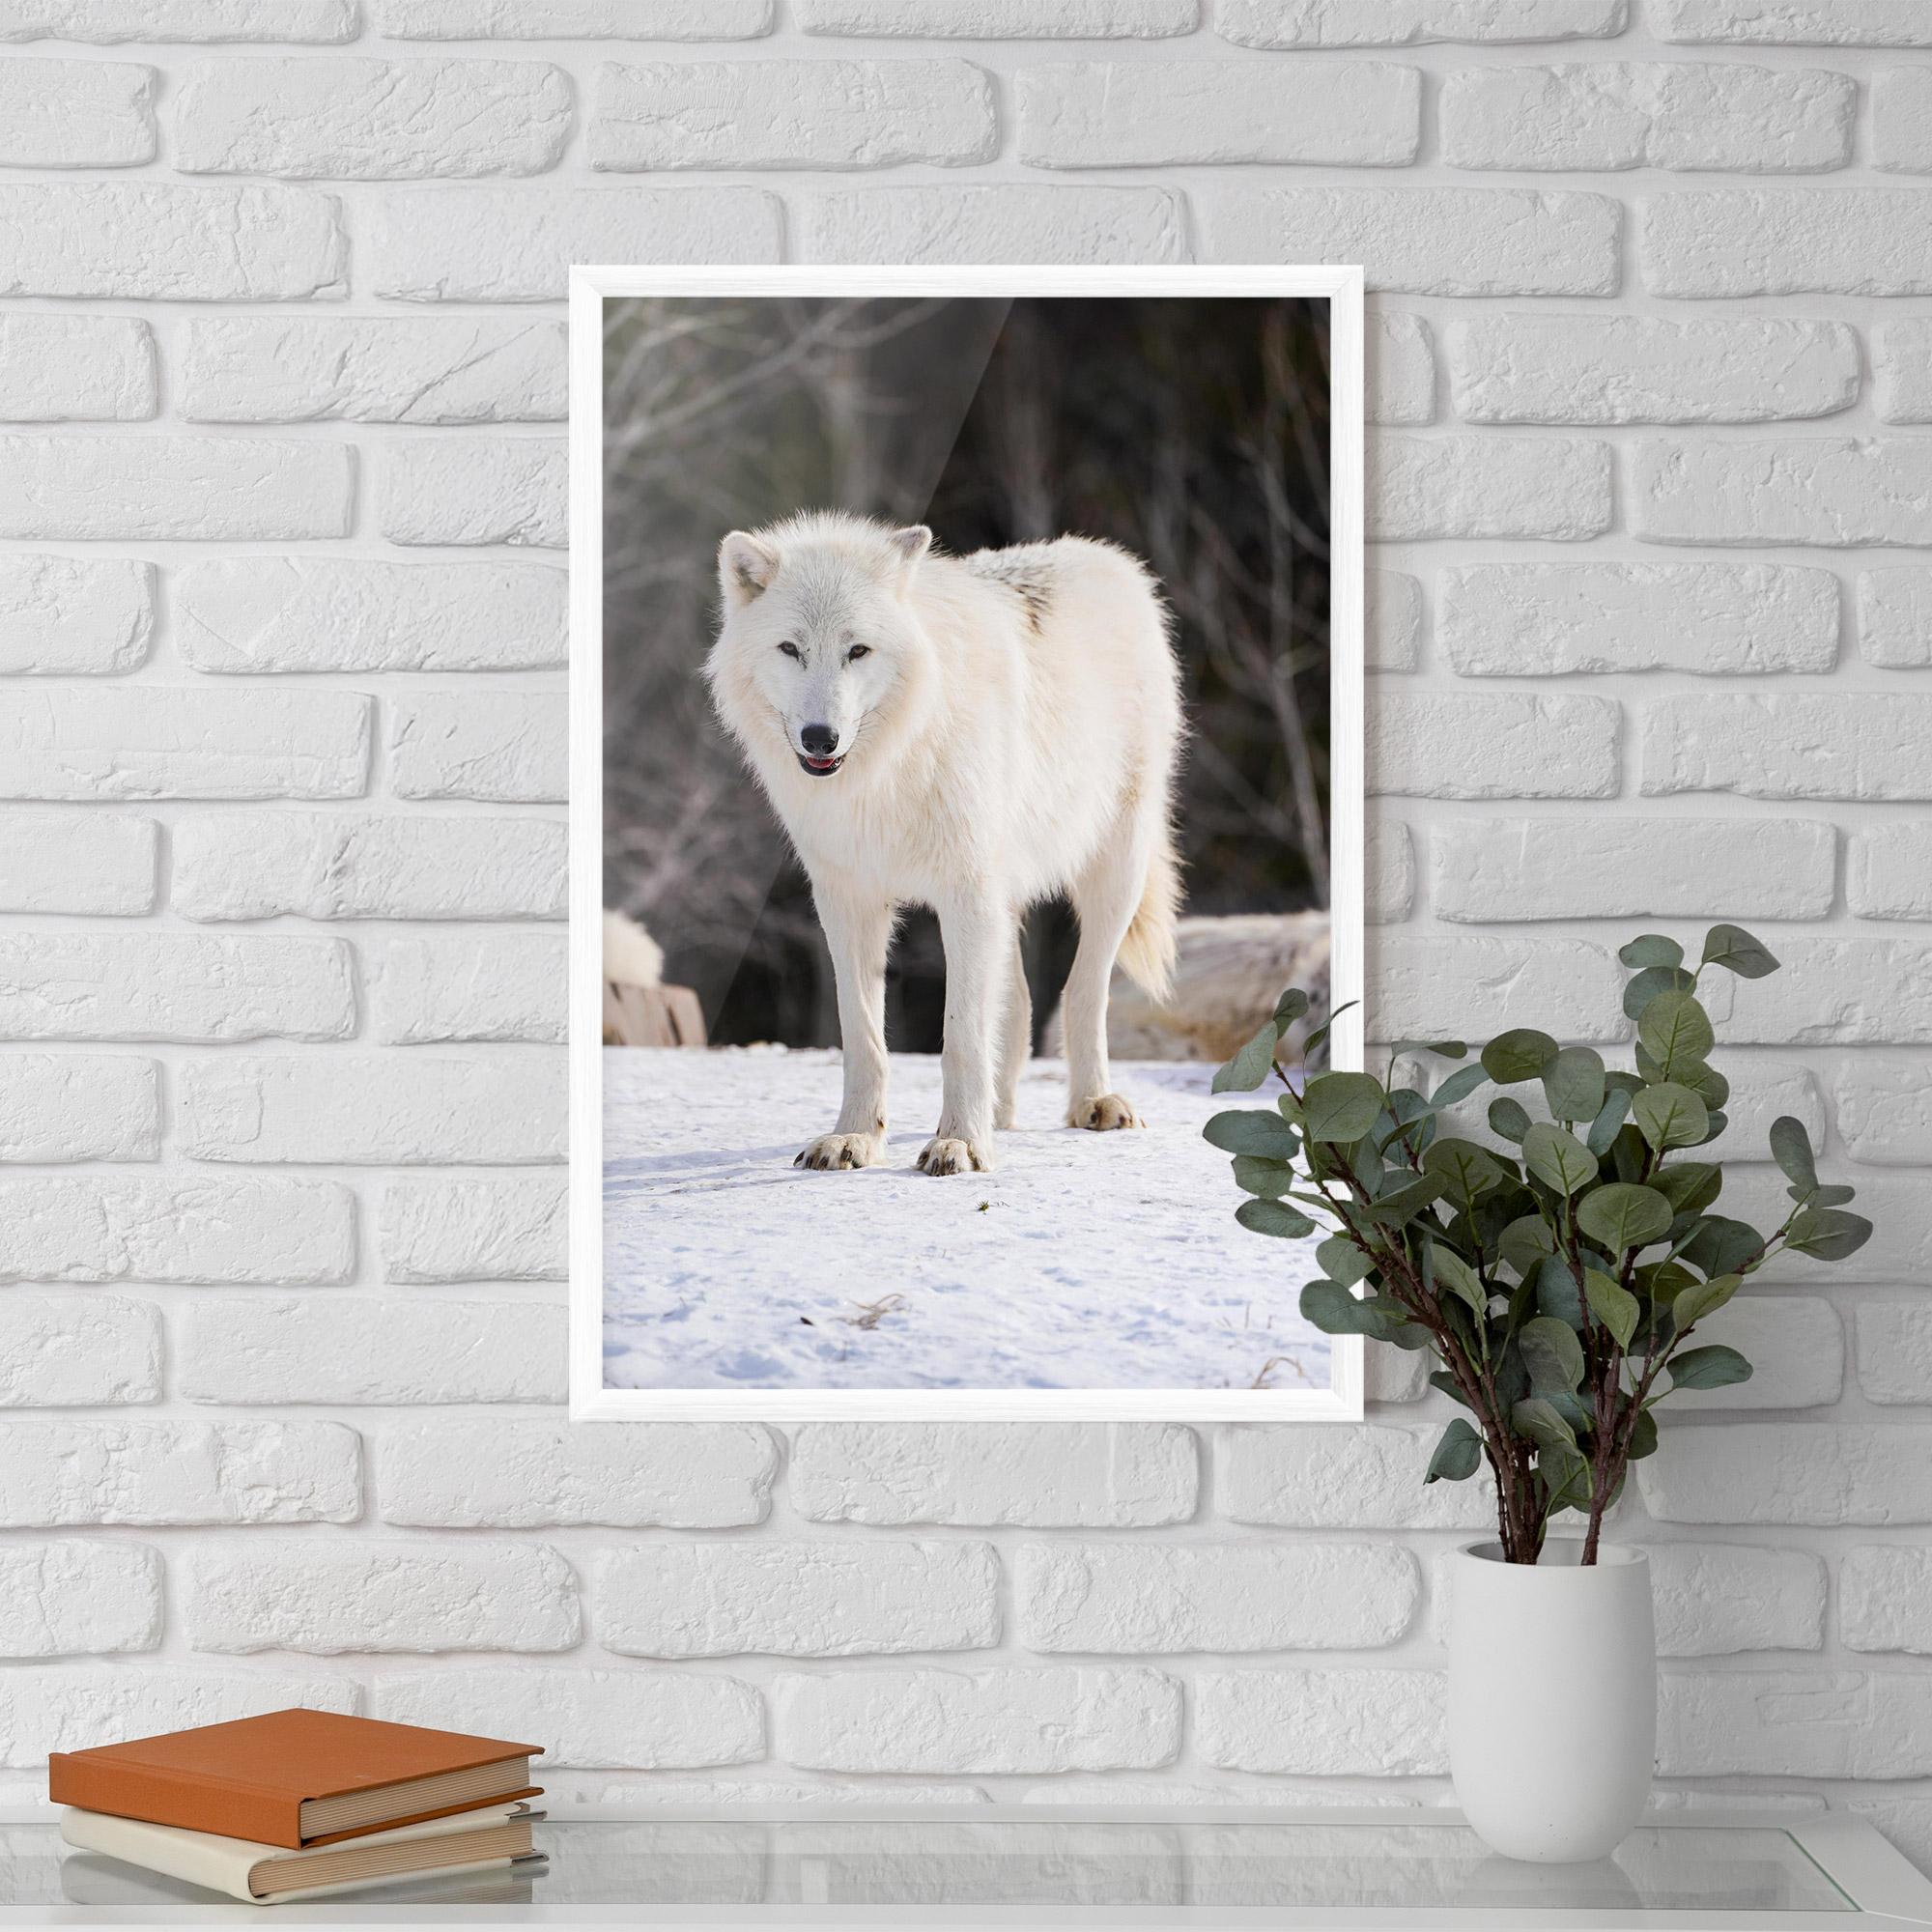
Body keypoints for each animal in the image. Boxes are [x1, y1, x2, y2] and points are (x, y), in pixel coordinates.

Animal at [705, 511, 1184, 1176]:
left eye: (858, 650)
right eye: (790, 649)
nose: (820, 737)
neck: (886, 772)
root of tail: (1108, 558)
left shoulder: (966, 894)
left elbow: (959, 1034)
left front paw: (960, 1143)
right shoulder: (847, 901)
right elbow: (863, 1035)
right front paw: (854, 1137)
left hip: (1114, 871)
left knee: (1083, 991)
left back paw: (1093, 1103)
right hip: (1008, 898)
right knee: (1020, 1004)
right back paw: (1001, 1115)